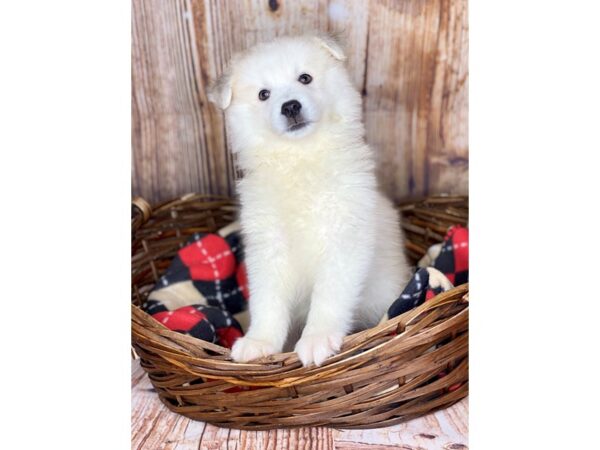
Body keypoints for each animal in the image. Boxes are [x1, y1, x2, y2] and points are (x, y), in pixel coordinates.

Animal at [209, 34, 410, 366]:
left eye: (305, 78)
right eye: (264, 94)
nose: (290, 106)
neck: (300, 158)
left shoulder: (342, 241)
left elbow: (328, 297)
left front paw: (317, 339)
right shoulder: (267, 248)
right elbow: (268, 301)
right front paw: (259, 341)